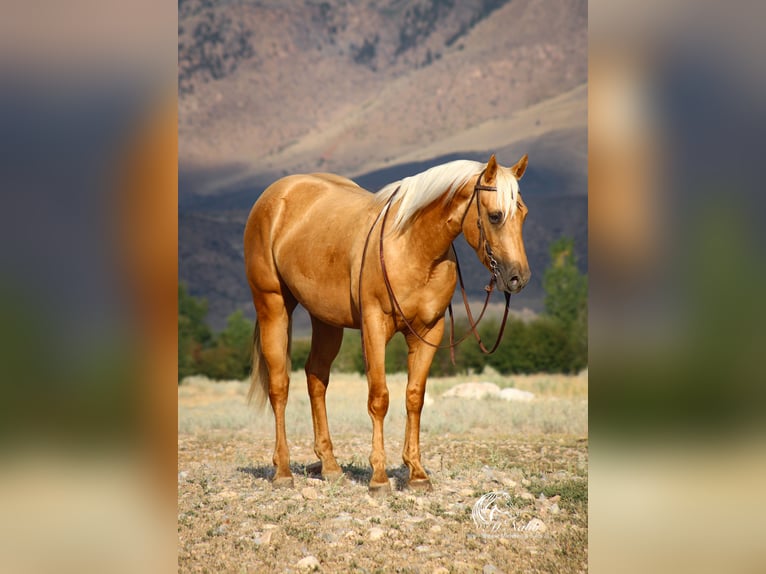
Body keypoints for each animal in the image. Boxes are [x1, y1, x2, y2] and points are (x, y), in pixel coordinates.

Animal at [244, 154, 530, 493]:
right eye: (496, 216)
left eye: (523, 213)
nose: (518, 278)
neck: (414, 247)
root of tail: (276, 194)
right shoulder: (374, 327)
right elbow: (379, 398)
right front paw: (379, 477)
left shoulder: (428, 331)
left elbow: (414, 397)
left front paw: (417, 473)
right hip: (273, 305)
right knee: (279, 387)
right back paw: (283, 471)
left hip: (326, 321)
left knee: (316, 378)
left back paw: (330, 466)